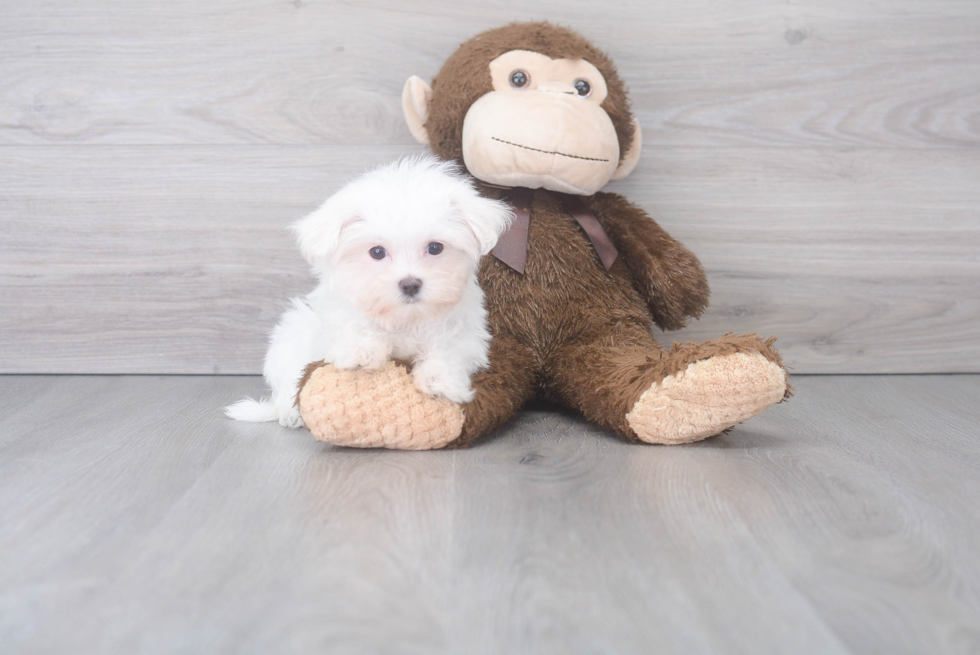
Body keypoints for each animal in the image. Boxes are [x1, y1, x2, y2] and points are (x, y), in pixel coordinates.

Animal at [223, 156, 512, 428]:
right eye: (377, 252)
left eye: (435, 248)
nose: (410, 284)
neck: (405, 318)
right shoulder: (337, 316)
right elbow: (352, 328)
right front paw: (362, 351)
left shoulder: (466, 333)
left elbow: (450, 349)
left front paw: (439, 379)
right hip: (289, 339)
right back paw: (290, 413)